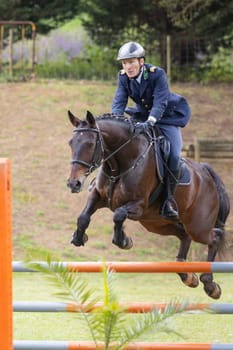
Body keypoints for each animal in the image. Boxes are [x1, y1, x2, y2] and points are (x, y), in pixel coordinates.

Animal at [66, 109, 230, 298]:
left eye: (90, 144)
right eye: (71, 143)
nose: (73, 183)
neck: (120, 163)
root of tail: (205, 171)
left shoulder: (138, 206)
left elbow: (118, 215)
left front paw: (124, 240)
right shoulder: (98, 196)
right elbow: (83, 217)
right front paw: (79, 237)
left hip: (198, 226)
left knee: (215, 236)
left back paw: (210, 284)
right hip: (157, 224)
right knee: (184, 235)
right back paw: (187, 275)